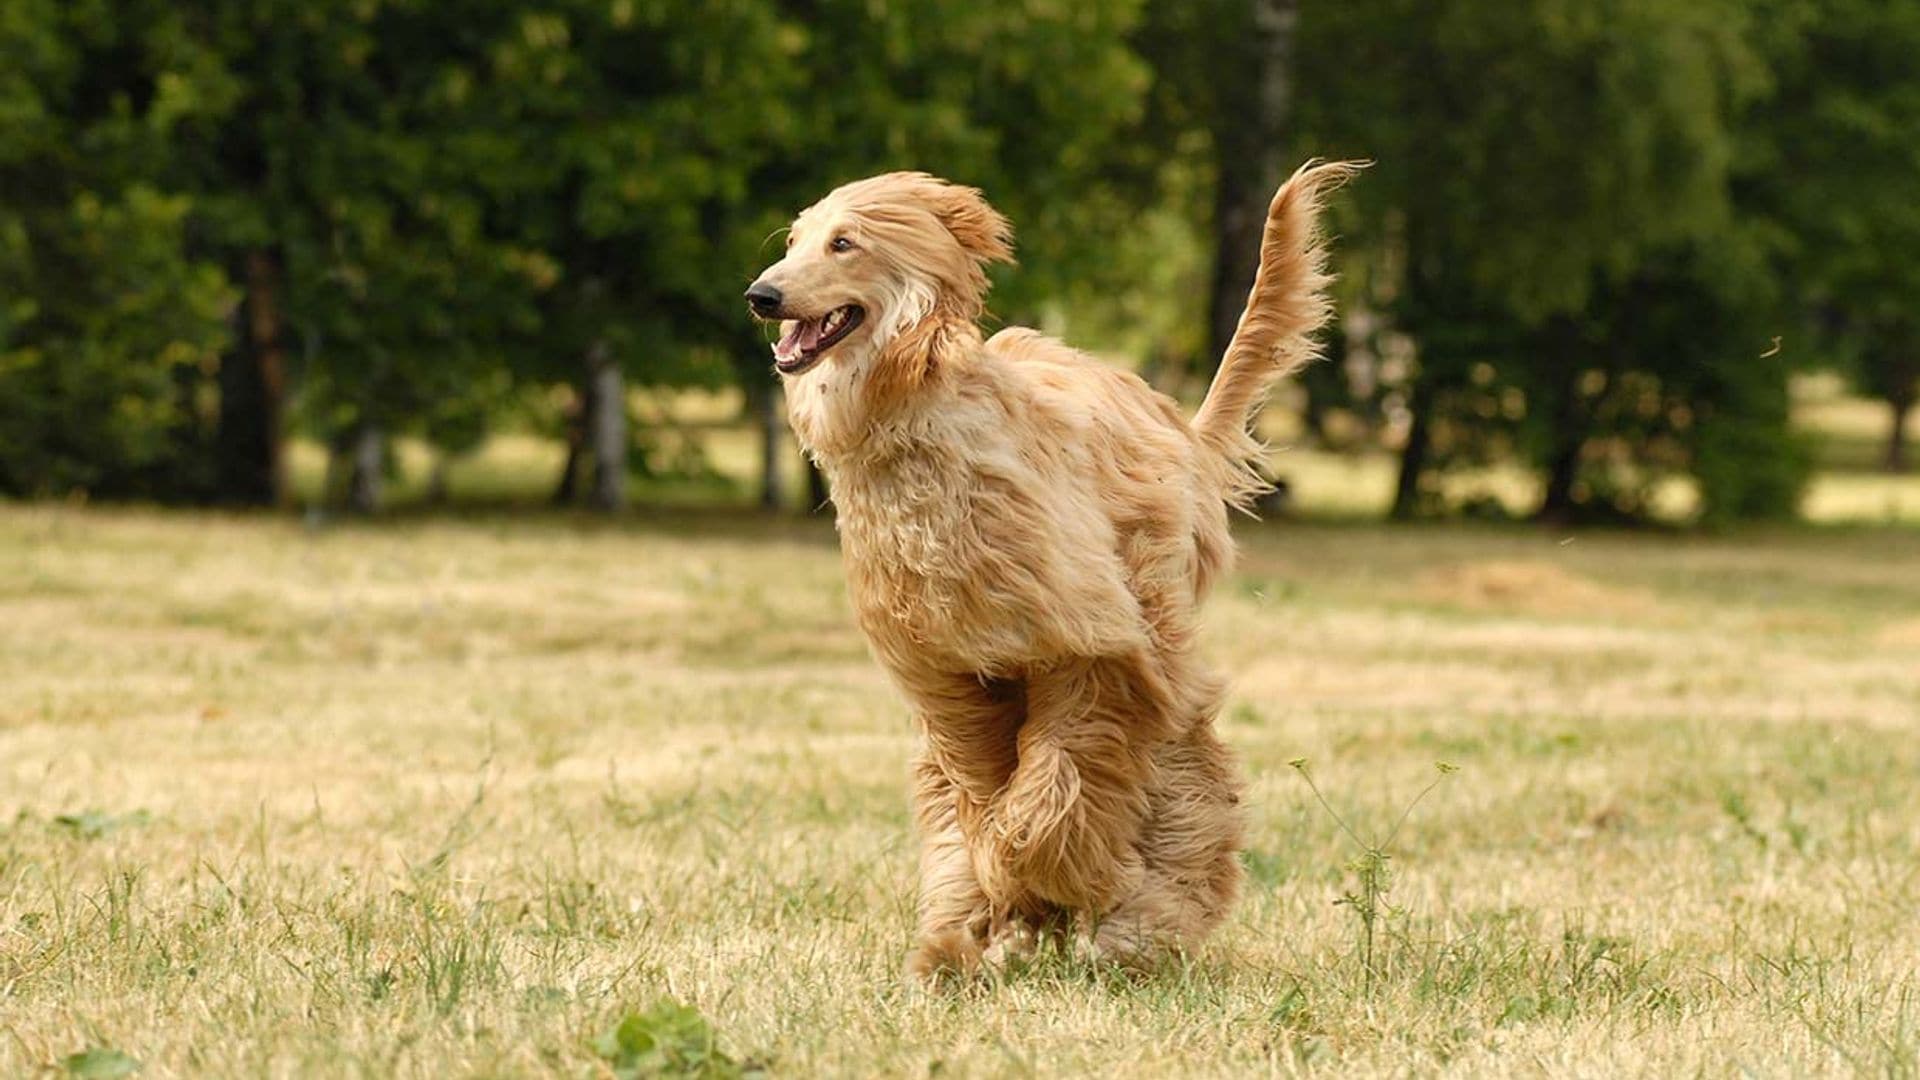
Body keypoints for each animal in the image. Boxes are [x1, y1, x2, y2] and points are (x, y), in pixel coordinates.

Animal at [741, 159, 1359, 976]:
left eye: (844, 242)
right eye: (793, 241)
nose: (760, 296)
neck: (920, 429)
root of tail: (1180, 430)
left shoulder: (1084, 647)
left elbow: (1057, 781)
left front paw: (1044, 883)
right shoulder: (952, 674)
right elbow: (977, 793)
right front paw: (1000, 913)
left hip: (1153, 615)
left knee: (1185, 767)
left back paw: (1149, 923)